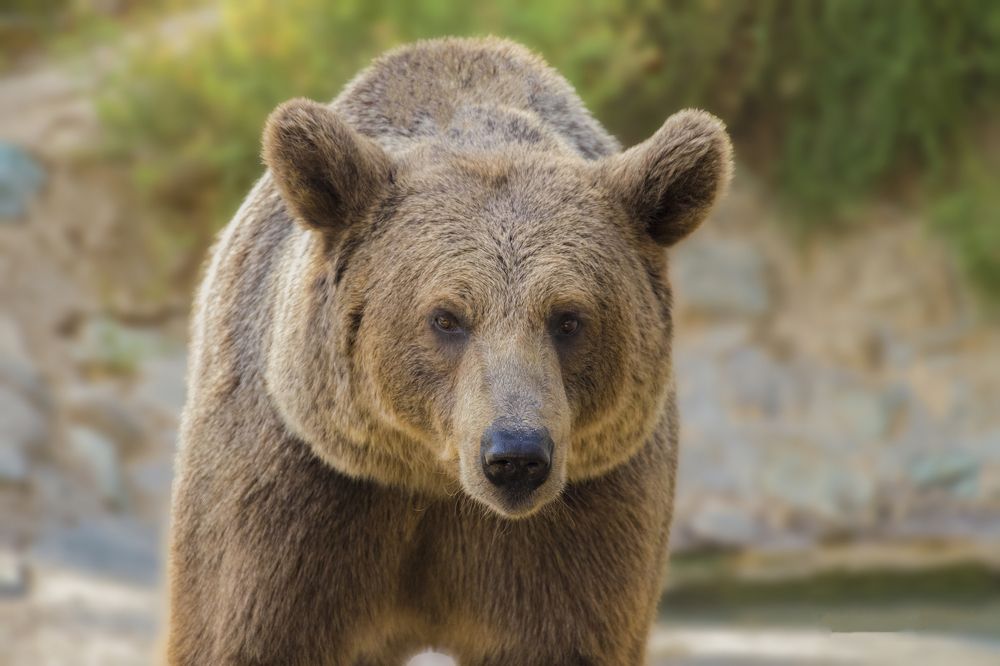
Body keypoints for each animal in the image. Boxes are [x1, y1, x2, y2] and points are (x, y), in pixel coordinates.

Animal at [167, 36, 732, 665]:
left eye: (568, 318)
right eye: (446, 318)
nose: (516, 455)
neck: (436, 484)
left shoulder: (586, 514)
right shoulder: (304, 489)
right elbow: (247, 625)